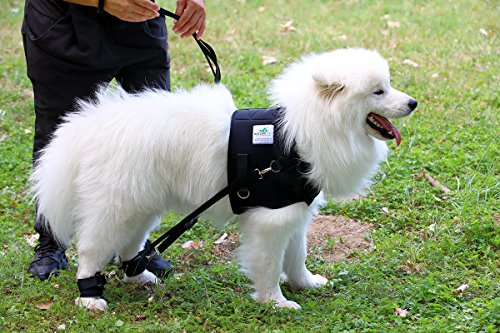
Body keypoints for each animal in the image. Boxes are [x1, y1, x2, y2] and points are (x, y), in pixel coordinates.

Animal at [31, 48, 418, 310]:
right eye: (379, 92)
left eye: (387, 86)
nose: (413, 103)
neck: (295, 138)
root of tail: (91, 124)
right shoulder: (272, 220)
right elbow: (268, 265)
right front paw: (275, 302)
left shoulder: (294, 211)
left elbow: (297, 256)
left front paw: (306, 284)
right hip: (117, 205)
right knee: (92, 249)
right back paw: (91, 298)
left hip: (140, 203)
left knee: (130, 243)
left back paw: (139, 275)